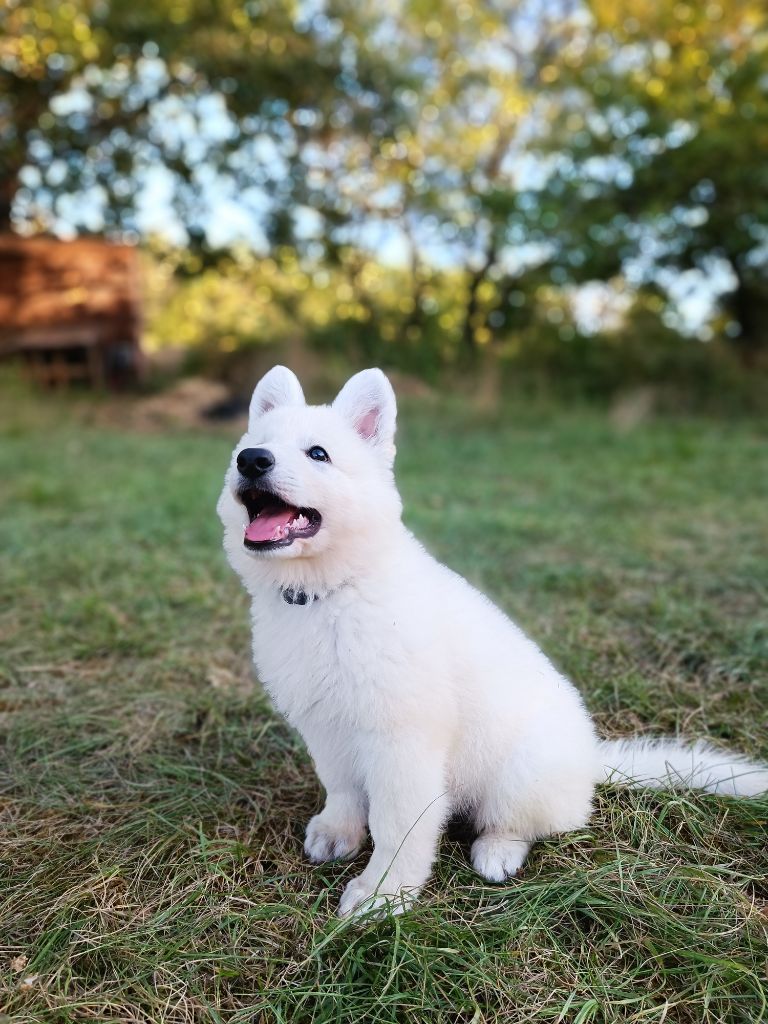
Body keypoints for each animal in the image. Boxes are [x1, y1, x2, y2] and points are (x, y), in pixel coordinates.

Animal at [217, 364, 768, 917]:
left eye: (318, 454)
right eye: (255, 445)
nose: (252, 460)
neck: (329, 592)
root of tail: (592, 761)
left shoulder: (403, 742)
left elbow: (397, 826)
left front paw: (383, 895)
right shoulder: (327, 727)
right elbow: (344, 789)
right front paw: (338, 834)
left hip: (519, 773)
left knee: (526, 825)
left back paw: (497, 853)